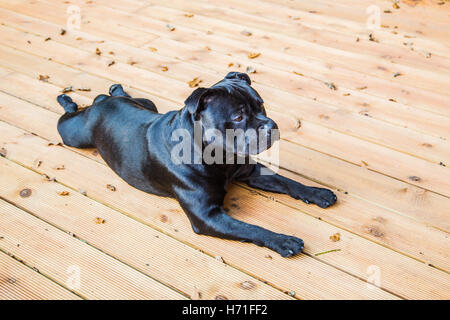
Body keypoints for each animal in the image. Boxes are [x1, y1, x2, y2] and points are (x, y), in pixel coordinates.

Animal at [56, 72, 336, 258]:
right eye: (238, 117)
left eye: (261, 105)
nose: (271, 125)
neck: (220, 157)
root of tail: (102, 103)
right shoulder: (208, 216)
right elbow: (250, 228)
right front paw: (283, 240)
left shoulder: (251, 172)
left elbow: (287, 182)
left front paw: (317, 193)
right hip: (73, 134)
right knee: (67, 116)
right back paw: (67, 100)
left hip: (146, 103)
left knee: (119, 95)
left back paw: (117, 88)